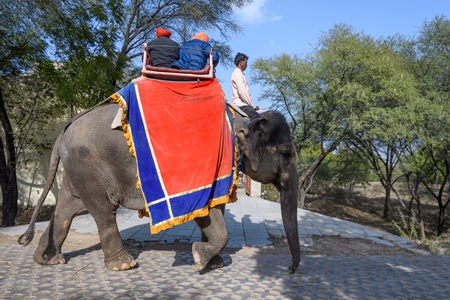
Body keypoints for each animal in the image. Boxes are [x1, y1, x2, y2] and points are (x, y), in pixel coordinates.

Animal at [18, 102, 298, 274]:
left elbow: (212, 207)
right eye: (287, 153)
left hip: (77, 168)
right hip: (90, 165)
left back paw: (48, 260)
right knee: (103, 210)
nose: (289, 269)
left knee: (67, 207)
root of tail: (67, 125)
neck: (245, 116)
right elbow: (207, 210)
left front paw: (212, 263)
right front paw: (199, 259)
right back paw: (124, 265)